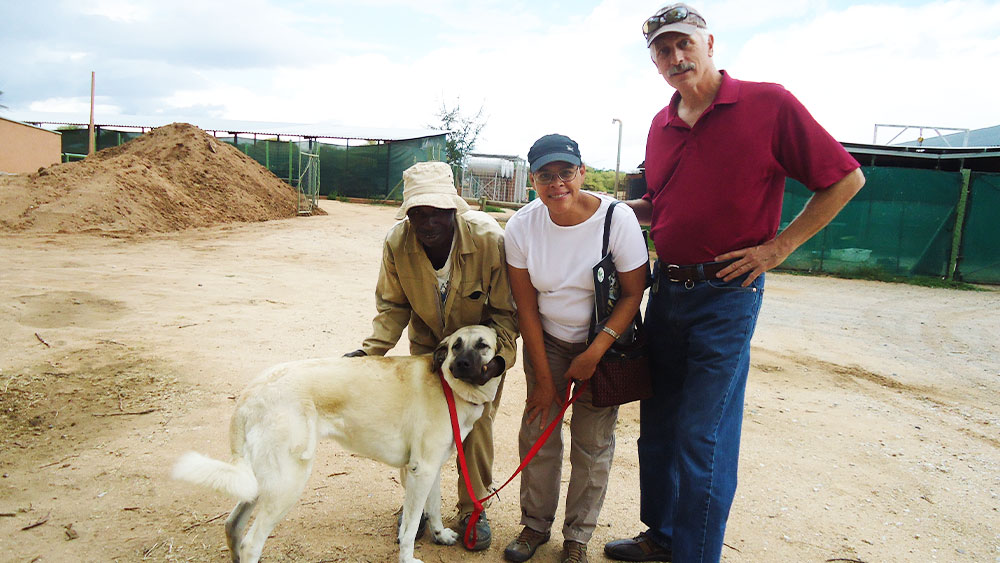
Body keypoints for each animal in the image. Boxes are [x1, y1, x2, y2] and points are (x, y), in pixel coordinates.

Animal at [173, 326, 504, 563]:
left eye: (482, 346)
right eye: (456, 345)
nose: (461, 364)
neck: (448, 386)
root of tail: (251, 392)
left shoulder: (429, 469)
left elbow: (432, 508)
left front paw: (440, 535)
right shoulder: (421, 471)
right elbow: (410, 528)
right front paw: (408, 557)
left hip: (261, 481)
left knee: (232, 526)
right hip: (287, 483)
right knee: (250, 543)